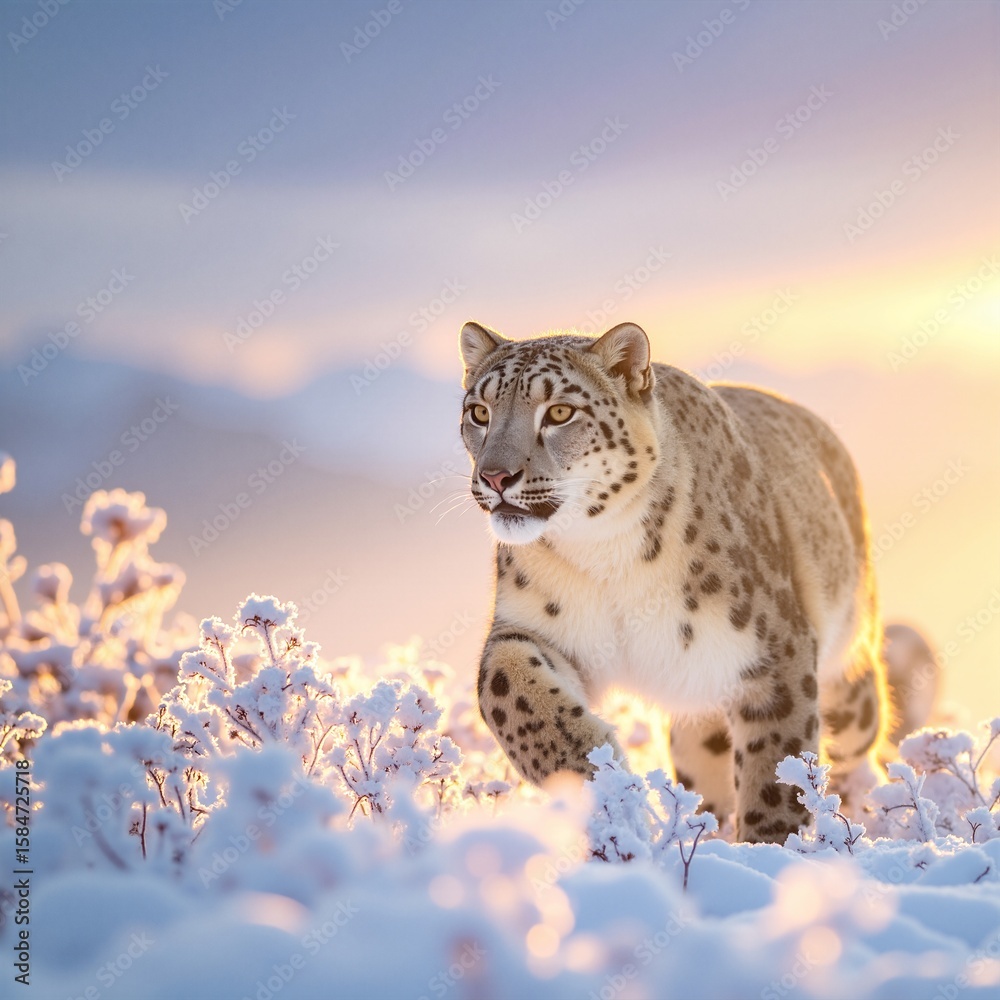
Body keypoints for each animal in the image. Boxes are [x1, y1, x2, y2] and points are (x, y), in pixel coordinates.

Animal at [458, 319, 896, 844]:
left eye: (560, 411)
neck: (605, 556)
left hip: (847, 672)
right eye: (479, 412)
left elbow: (777, 764)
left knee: (858, 726)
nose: (496, 476)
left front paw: (770, 846)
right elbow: (507, 689)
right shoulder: (532, 628)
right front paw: (595, 767)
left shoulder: (774, 650)